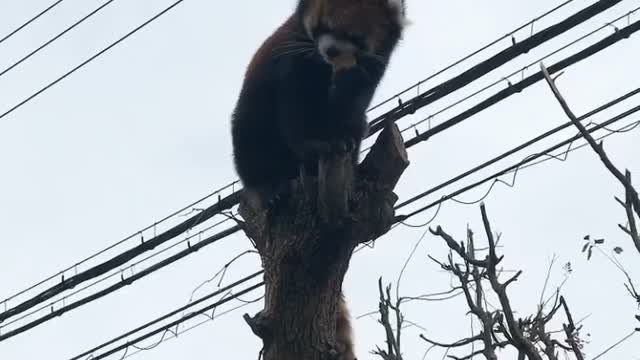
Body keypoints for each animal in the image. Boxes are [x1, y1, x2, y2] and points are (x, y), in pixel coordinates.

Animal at [232, 1, 408, 358]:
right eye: (323, 26)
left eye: (353, 35)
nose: (330, 51)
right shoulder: (293, 59)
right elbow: (294, 113)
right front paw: (315, 145)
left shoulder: (374, 63)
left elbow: (352, 104)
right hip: (251, 123)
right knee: (250, 136)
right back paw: (269, 186)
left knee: (358, 126)